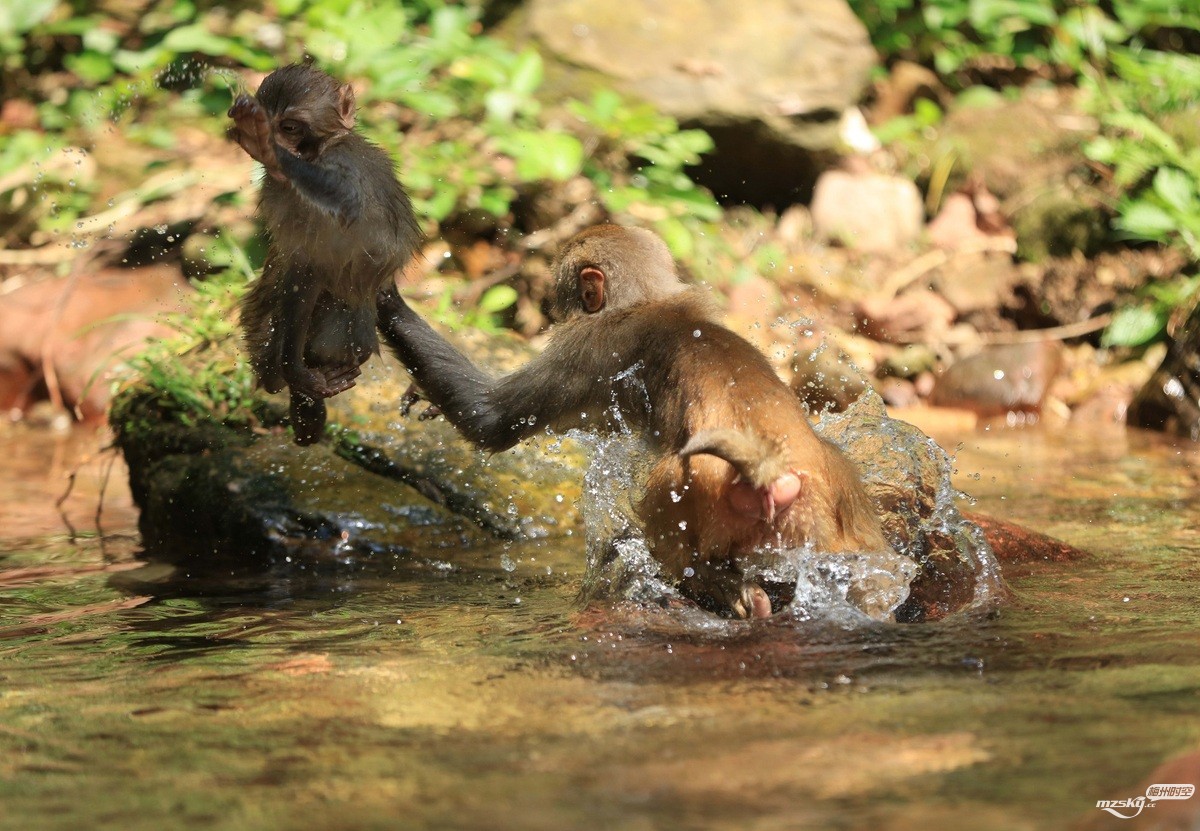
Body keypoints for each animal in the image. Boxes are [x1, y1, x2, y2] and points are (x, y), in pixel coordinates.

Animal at [228, 64, 422, 444]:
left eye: (289, 127)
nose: (276, 142)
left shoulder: (345, 159)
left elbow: (345, 198)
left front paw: (268, 150)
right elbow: (300, 268)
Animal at [374, 225, 892, 614]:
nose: (551, 310)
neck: (649, 303)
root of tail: (773, 473)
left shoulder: (582, 351)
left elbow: (491, 420)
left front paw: (384, 298)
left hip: (705, 486)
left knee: (666, 481)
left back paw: (714, 587)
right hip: (834, 497)